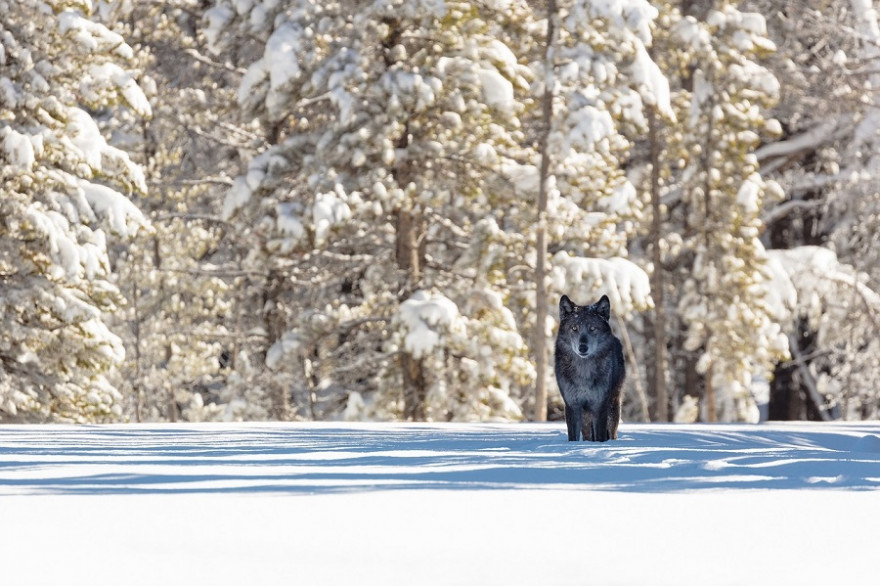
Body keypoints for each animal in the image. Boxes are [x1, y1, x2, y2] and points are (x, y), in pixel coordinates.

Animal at [556, 294, 624, 440]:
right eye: (574, 328)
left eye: (592, 328)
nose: (582, 347)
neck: (584, 371)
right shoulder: (572, 405)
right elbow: (573, 437)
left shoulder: (600, 405)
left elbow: (600, 436)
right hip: (586, 416)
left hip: (613, 405)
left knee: (612, 433)